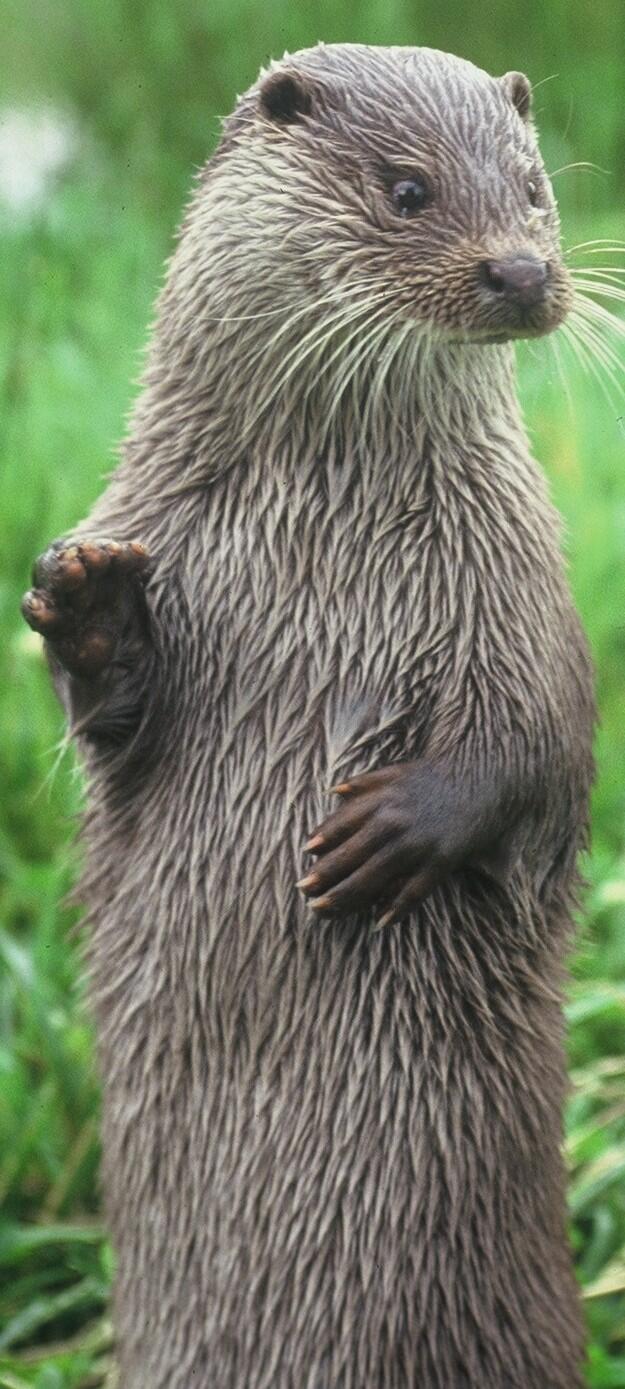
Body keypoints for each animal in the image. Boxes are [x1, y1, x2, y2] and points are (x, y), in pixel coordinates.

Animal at [22, 44, 595, 1389]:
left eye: (532, 186)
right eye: (407, 188)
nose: (521, 271)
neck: (319, 540)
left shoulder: (523, 592)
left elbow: (537, 742)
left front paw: (394, 830)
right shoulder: (158, 515)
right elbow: (111, 728)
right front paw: (93, 608)